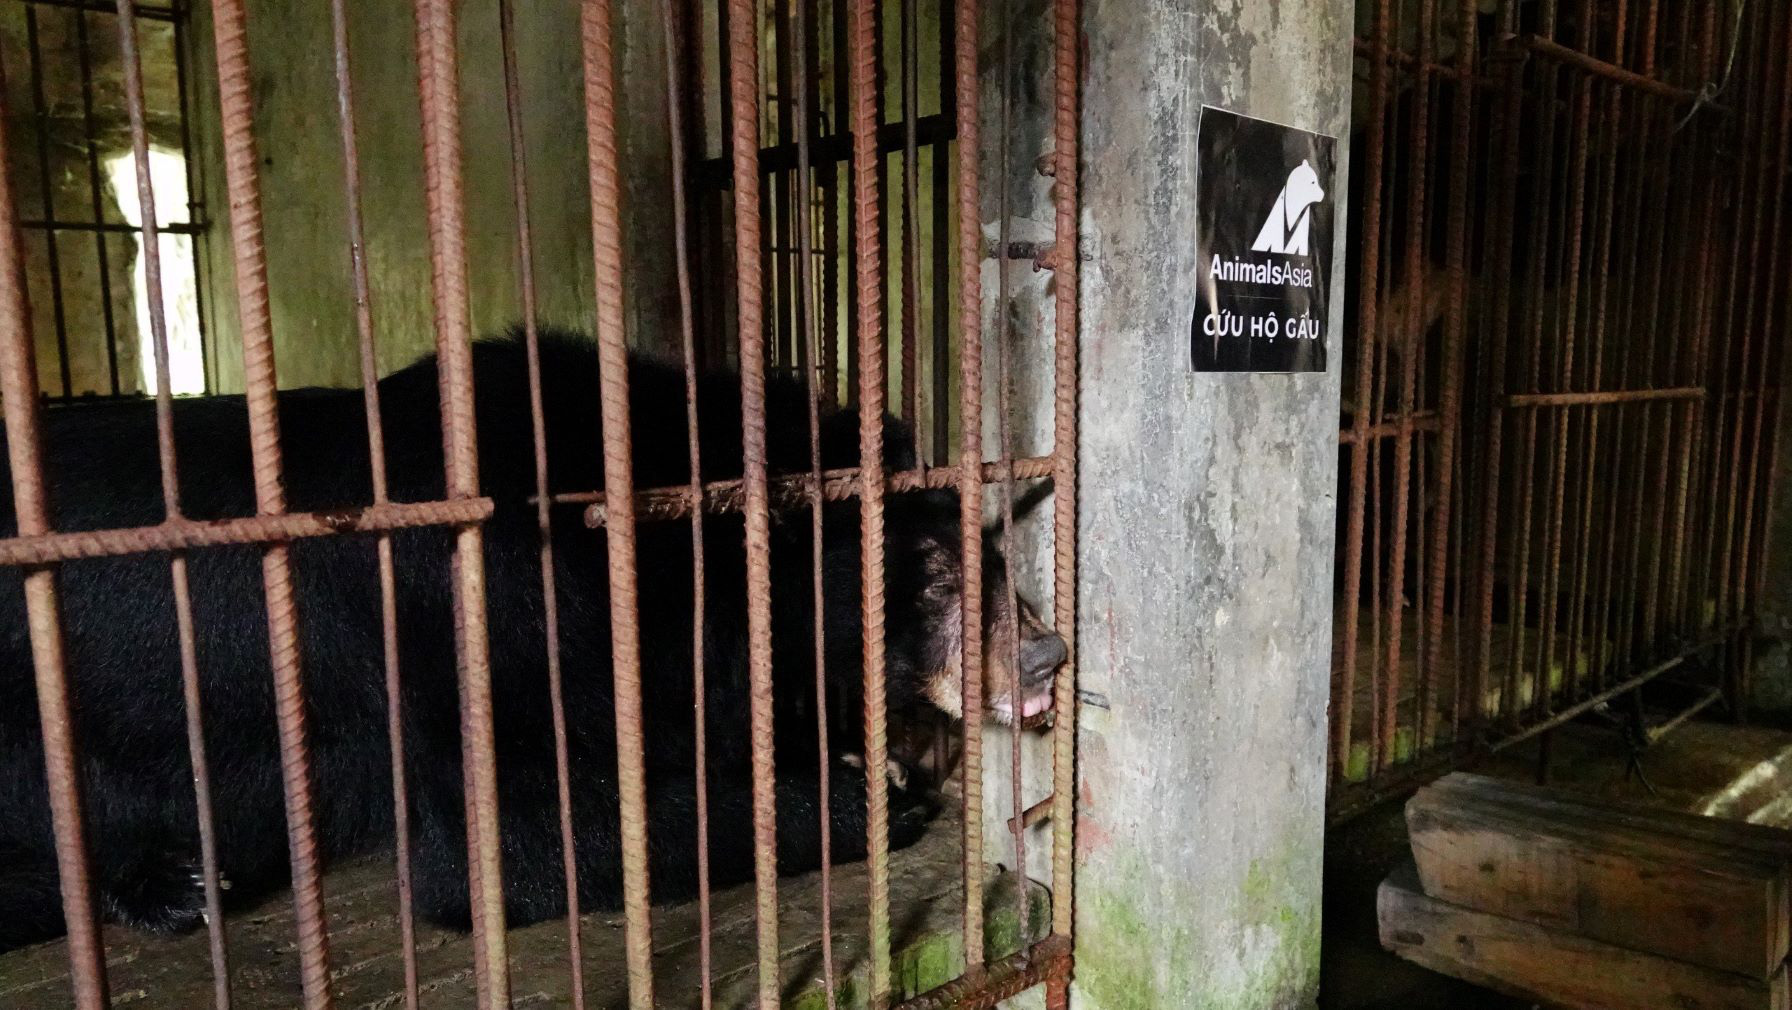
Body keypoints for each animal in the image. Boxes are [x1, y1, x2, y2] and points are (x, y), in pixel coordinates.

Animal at [0, 327, 1060, 952]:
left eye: (995, 563)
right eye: (934, 575)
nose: (1047, 656)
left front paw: (877, 754)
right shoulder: (479, 615)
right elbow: (510, 834)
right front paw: (869, 795)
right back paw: (172, 883)